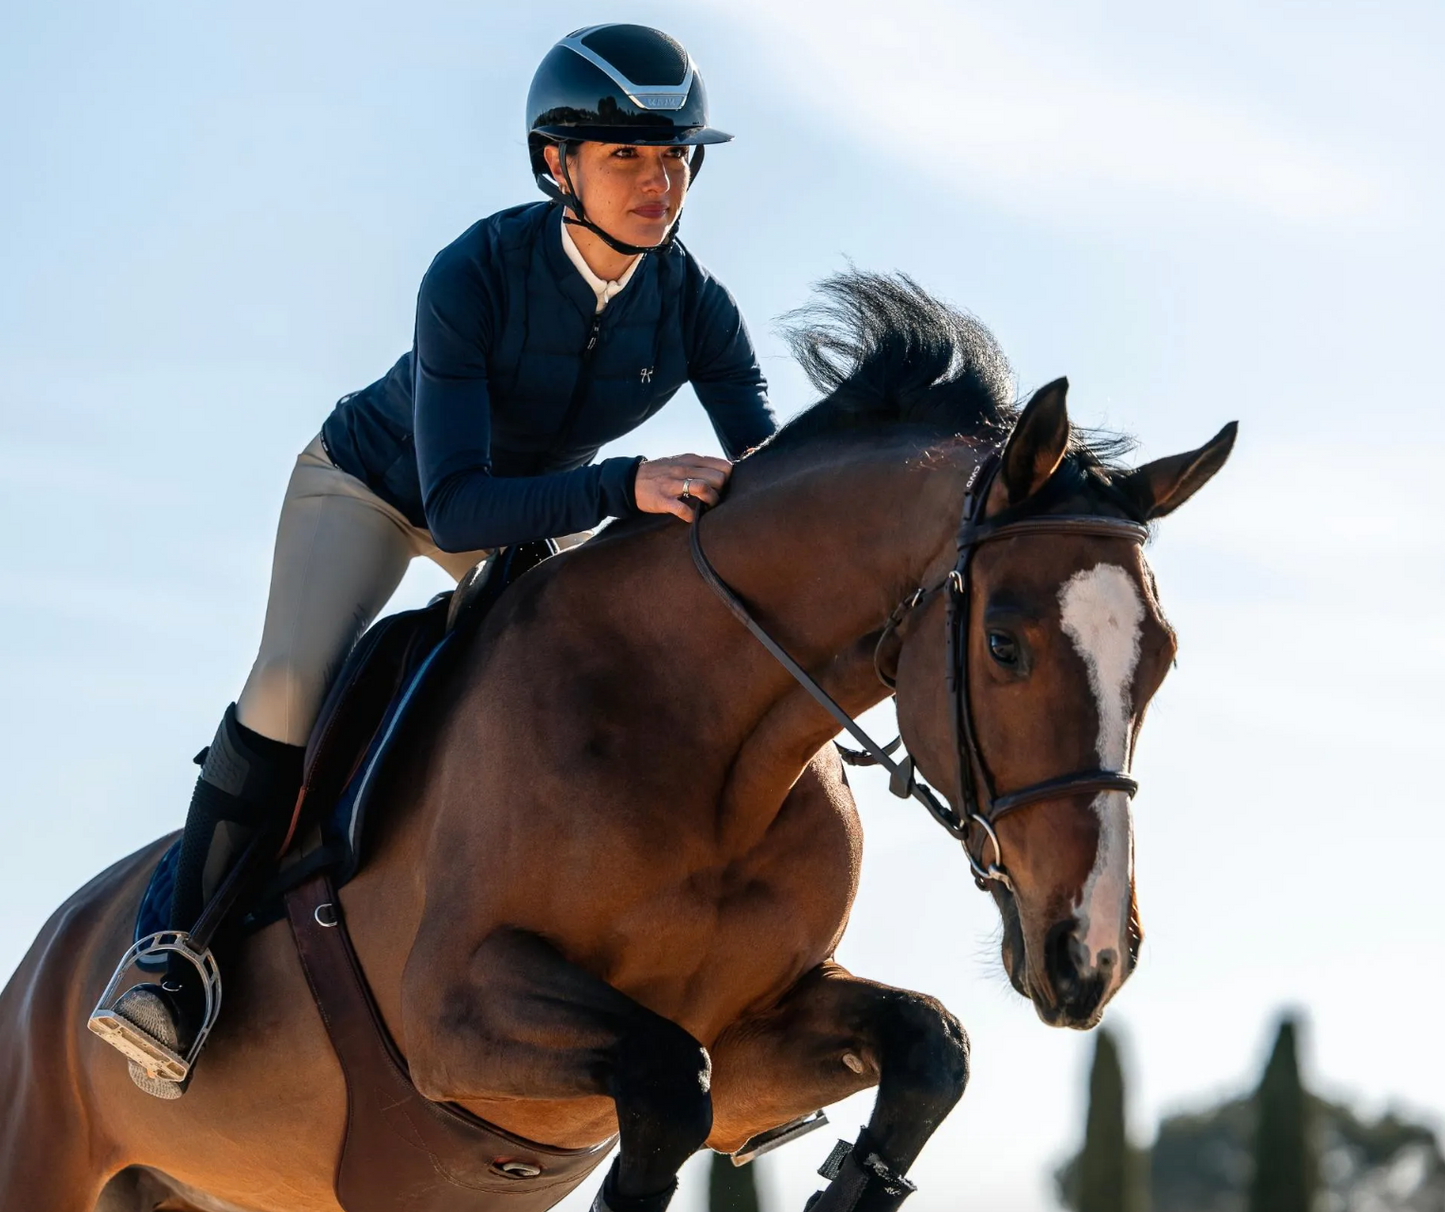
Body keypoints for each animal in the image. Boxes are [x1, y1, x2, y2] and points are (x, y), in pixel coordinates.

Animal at [0, 272, 1234, 1212]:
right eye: (1006, 644)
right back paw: (155, 998)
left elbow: (929, 1046)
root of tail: (45, 956)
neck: (708, 746)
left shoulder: (756, 1036)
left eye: (1163, 659)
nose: (1090, 958)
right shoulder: (453, 1009)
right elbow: (667, 1079)